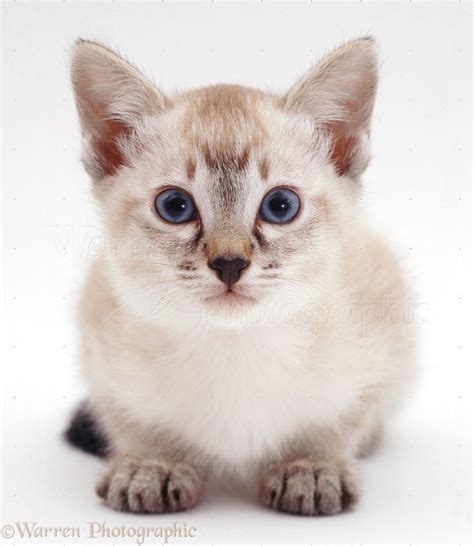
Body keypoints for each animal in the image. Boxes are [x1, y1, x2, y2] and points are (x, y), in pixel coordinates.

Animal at [65, 38, 414, 516]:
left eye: (281, 206)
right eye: (174, 206)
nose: (229, 263)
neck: (234, 347)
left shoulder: (379, 336)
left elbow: (340, 420)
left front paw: (311, 466)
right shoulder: (103, 354)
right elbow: (132, 421)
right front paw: (153, 464)